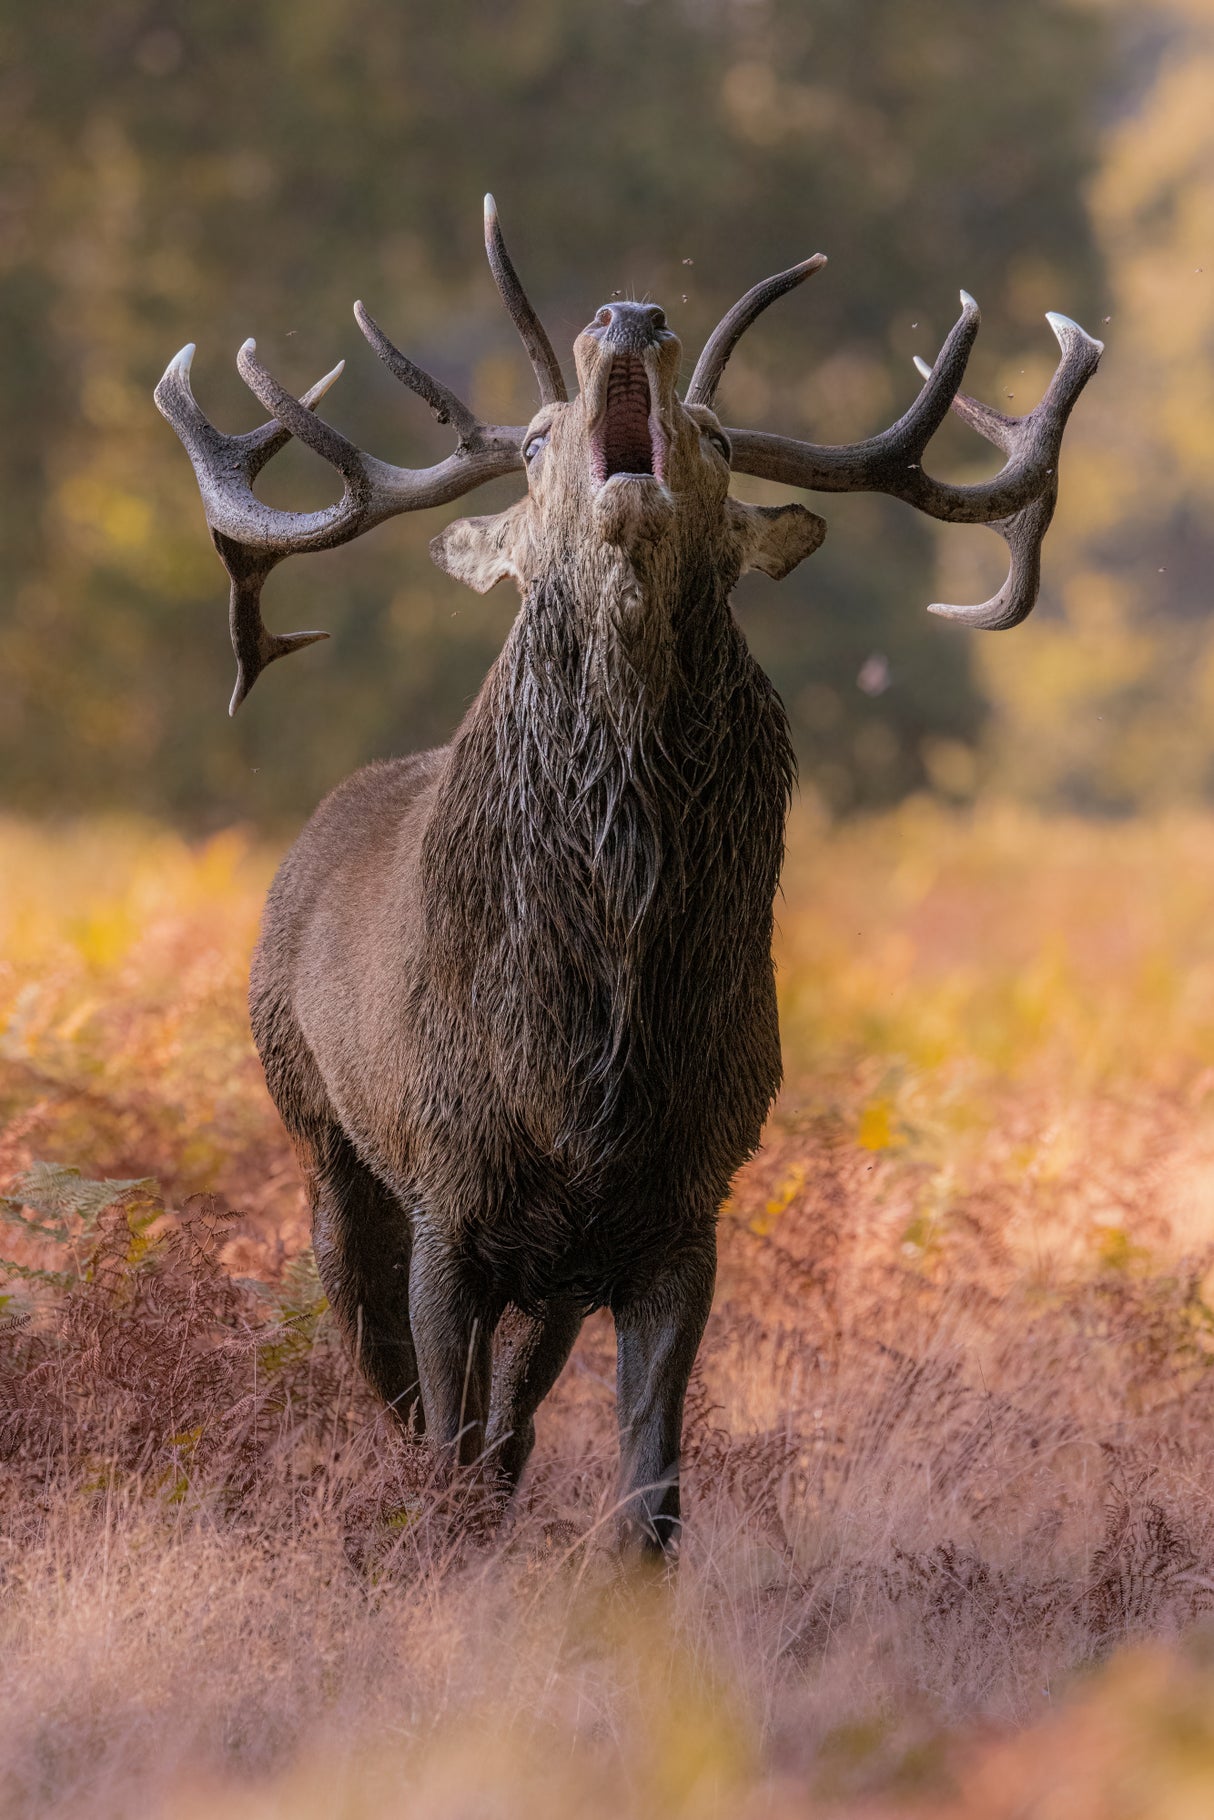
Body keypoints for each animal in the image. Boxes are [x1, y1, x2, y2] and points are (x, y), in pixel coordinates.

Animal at [155, 198, 1101, 1555]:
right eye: (535, 439)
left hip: (555, 1262)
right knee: (386, 1367)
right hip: (318, 1127)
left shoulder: (681, 1204)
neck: (584, 1056)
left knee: (514, 1407)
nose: (630, 312)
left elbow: (646, 1494)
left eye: (717, 437)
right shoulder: (448, 1187)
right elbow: (443, 1438)